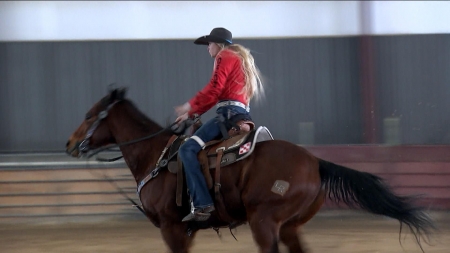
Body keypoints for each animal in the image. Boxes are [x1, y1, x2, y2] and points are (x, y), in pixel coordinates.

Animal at [67, 87, 436, 253]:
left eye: (88, 115)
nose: (70, 143)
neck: (155, 155)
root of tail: (315, 162)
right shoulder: (182, 231)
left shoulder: (172, 228)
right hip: (290, 225)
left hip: (265, 221)